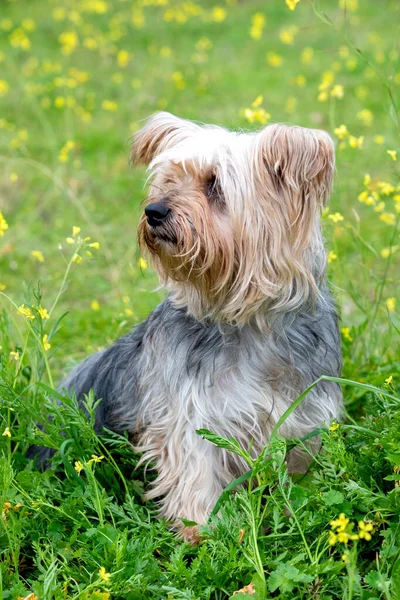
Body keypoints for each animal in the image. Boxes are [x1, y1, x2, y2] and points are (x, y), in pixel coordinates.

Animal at [57, 112, 340, 544]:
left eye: (214, 185)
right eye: (169, 181)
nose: (154, 210)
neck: (247, 321)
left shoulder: (303, 414)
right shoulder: (189, 414)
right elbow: (194, 472)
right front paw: (201, 532)